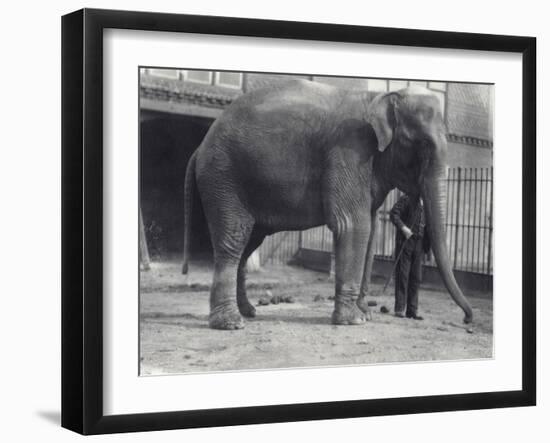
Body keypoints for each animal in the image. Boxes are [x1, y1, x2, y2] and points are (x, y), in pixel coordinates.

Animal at [182, 80, 474, 330]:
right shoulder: (349, 149)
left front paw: (365, 314)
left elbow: (370, 231)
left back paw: (249, 312)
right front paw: (354, 320)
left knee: (248, 243)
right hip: (224, 177)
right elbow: (353, 225)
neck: (378, 97)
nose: (467, 319)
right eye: (423, 145)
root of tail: (200, 147)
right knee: (233, 238)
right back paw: (230, 323)